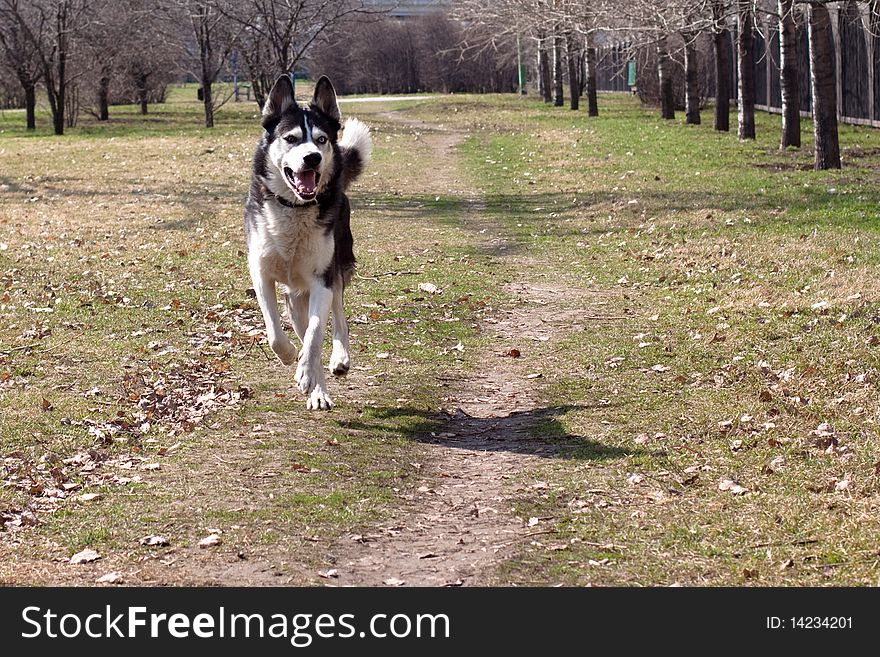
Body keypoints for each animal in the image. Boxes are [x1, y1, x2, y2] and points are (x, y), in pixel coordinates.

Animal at [244, 75, 372, 410]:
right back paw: (317, 387)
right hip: (295, 296)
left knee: (338, 319)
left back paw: (337, 360)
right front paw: (290, 356)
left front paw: (306, 370)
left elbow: (316, 335)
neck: (295, 209)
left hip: (337, 268)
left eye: (321, 139)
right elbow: (275, 332)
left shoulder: (321, 281)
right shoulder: (261, 275)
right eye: (290, 138)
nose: (311, 157)